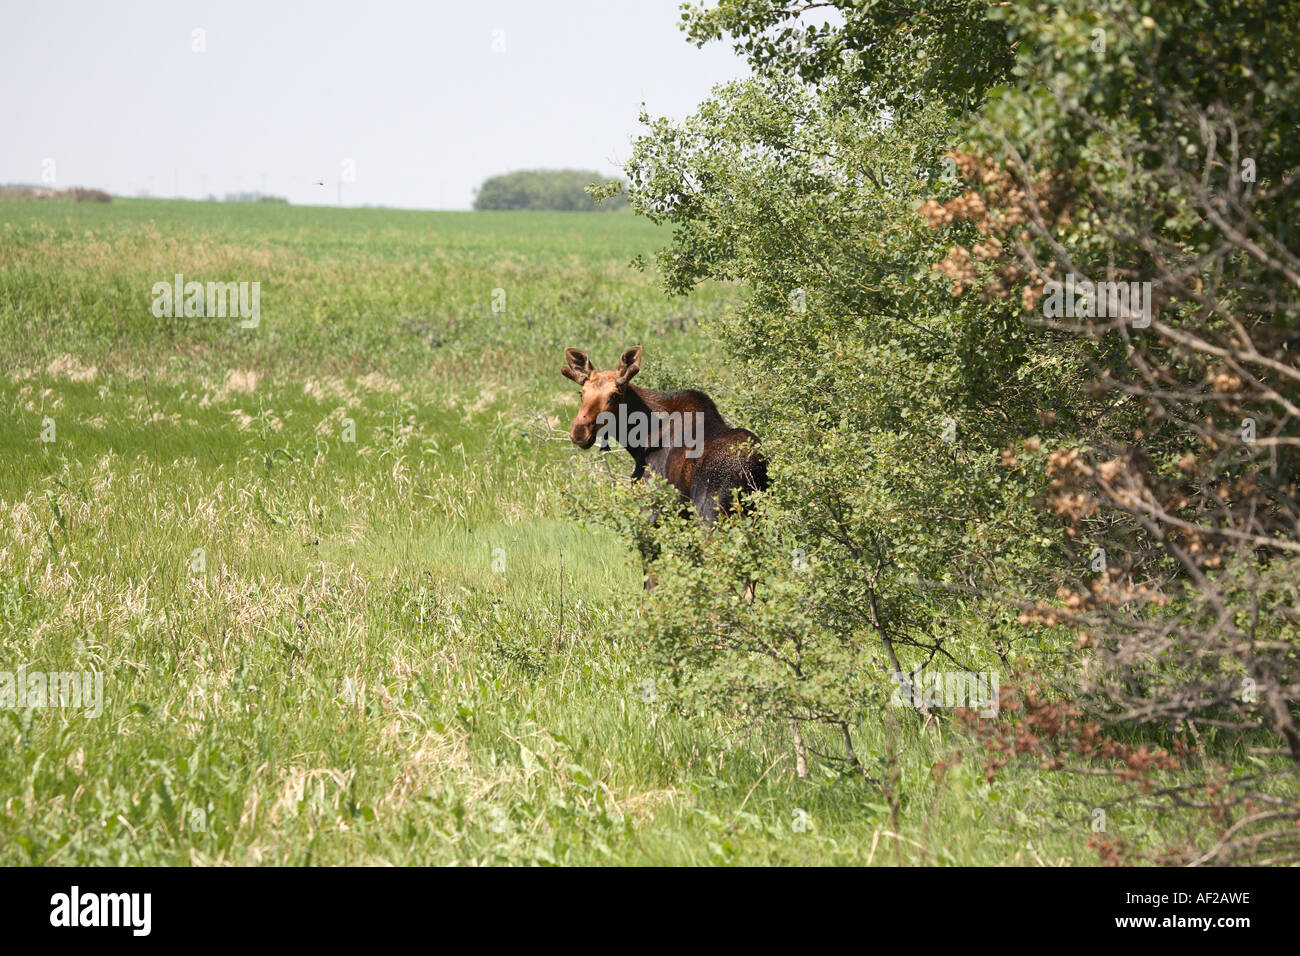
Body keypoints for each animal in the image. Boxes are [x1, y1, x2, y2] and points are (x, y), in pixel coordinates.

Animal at [556, 345, 759, 522]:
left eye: (614, 395)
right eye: (581, 393)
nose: (579, 431)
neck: (640, 442)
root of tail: (749, 468)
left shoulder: (654, 506)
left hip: (709, 511)